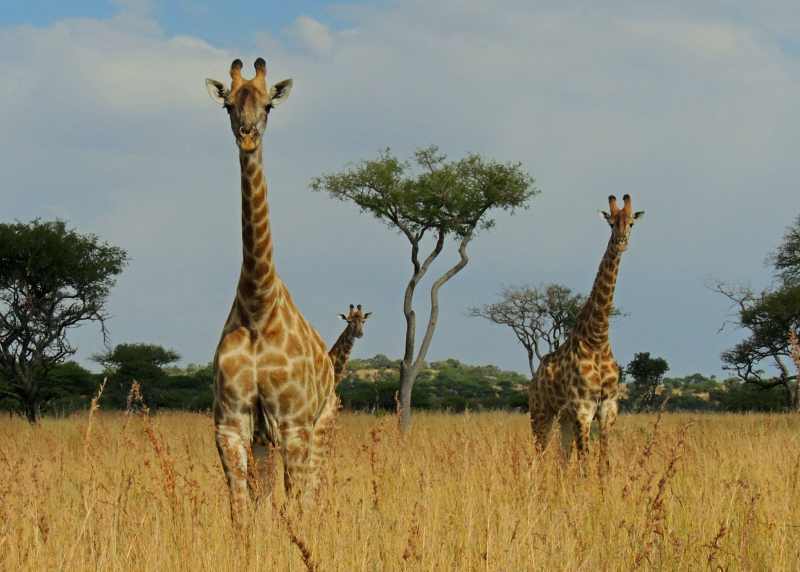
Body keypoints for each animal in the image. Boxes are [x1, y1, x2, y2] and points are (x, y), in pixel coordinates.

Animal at [205, 59, 336, 520]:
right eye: (228, 104)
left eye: (268, 106)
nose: (247, 136)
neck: (258, 304)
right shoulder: (231, 422)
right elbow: (242, 509)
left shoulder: (294, 423)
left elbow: (296, 507)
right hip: (265, 438)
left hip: (323, 423)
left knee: (313, 494)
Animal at [528, 194, 644, 465]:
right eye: (611, 223)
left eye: (631, 223)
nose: (621, 243)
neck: (598, 337)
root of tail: (534, 378)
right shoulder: (583, 408)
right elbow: (584, 462)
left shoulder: (608, 408)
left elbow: (602, 461)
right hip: (541, 413)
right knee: (539, 455)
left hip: (563, 419)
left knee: (561, 458)